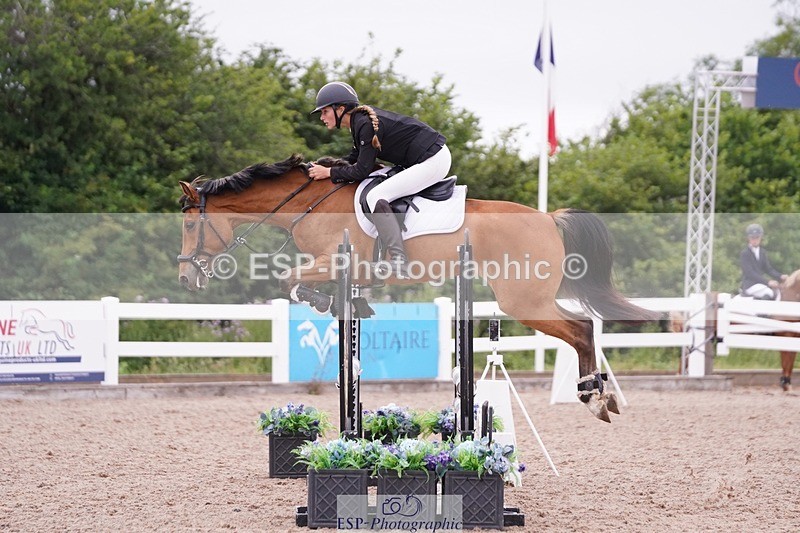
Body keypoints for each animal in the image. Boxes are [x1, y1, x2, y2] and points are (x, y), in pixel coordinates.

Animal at [177, 154, 661, 423]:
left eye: (188, 225)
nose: (186, 277)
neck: (308, 204)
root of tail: (549, 218)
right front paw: (350, 304)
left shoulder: (336, 260)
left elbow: (289, 279)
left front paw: (323, 299)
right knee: (586, 327)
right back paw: (602, 397)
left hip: (524, 299)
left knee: (581, 328)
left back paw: (594, 398)